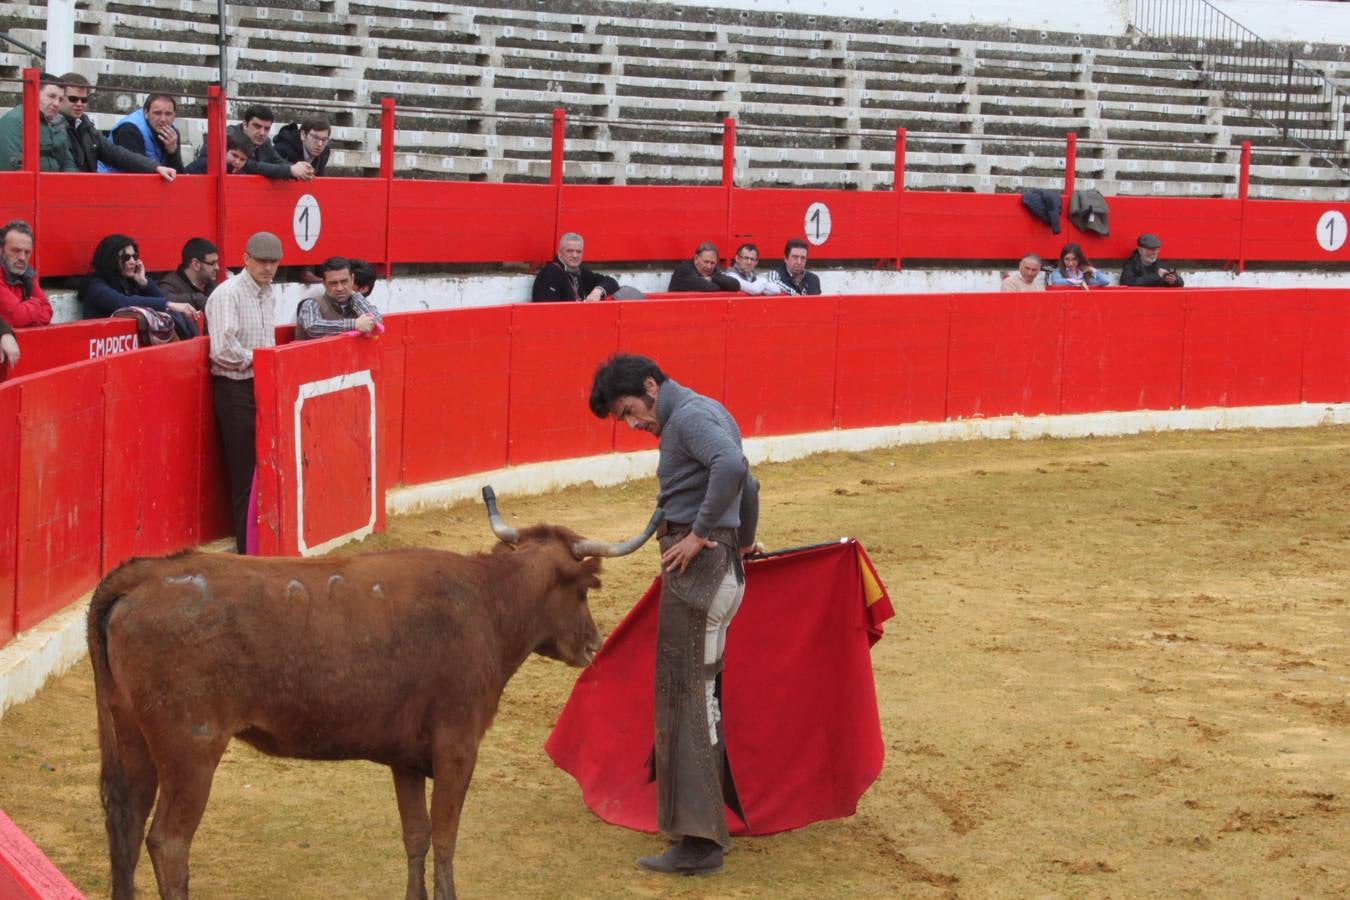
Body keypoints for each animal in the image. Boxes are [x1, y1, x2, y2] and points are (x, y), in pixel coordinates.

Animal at [87, 493, 661, 900]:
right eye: (584, 590)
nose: (593, 644)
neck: (487, 602)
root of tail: (146, 572)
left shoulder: (405, 758)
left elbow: (417, 835)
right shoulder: (458, 749)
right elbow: (446, 836)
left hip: (131, 735)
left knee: (125, 820)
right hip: (192, 750)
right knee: (168, 842)